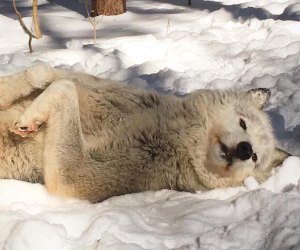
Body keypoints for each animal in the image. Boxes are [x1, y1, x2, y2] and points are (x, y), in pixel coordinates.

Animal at [0, 63, 290, 202]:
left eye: (255, 159)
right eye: (243, 124)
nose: (246, 149)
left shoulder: (73, 178)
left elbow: (63, 87)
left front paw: (29, 119)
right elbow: (43, 72)